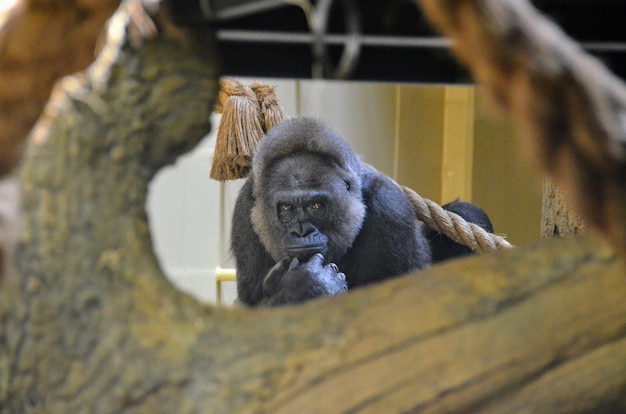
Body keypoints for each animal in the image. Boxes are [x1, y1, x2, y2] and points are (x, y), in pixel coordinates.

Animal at [229, 118, 488, 306]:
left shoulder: (390, 207)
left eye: (316, 206)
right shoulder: (246, 209)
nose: (302, 232)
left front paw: (307, 286)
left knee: (466, 211)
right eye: (287, 208)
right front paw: (304, 287)